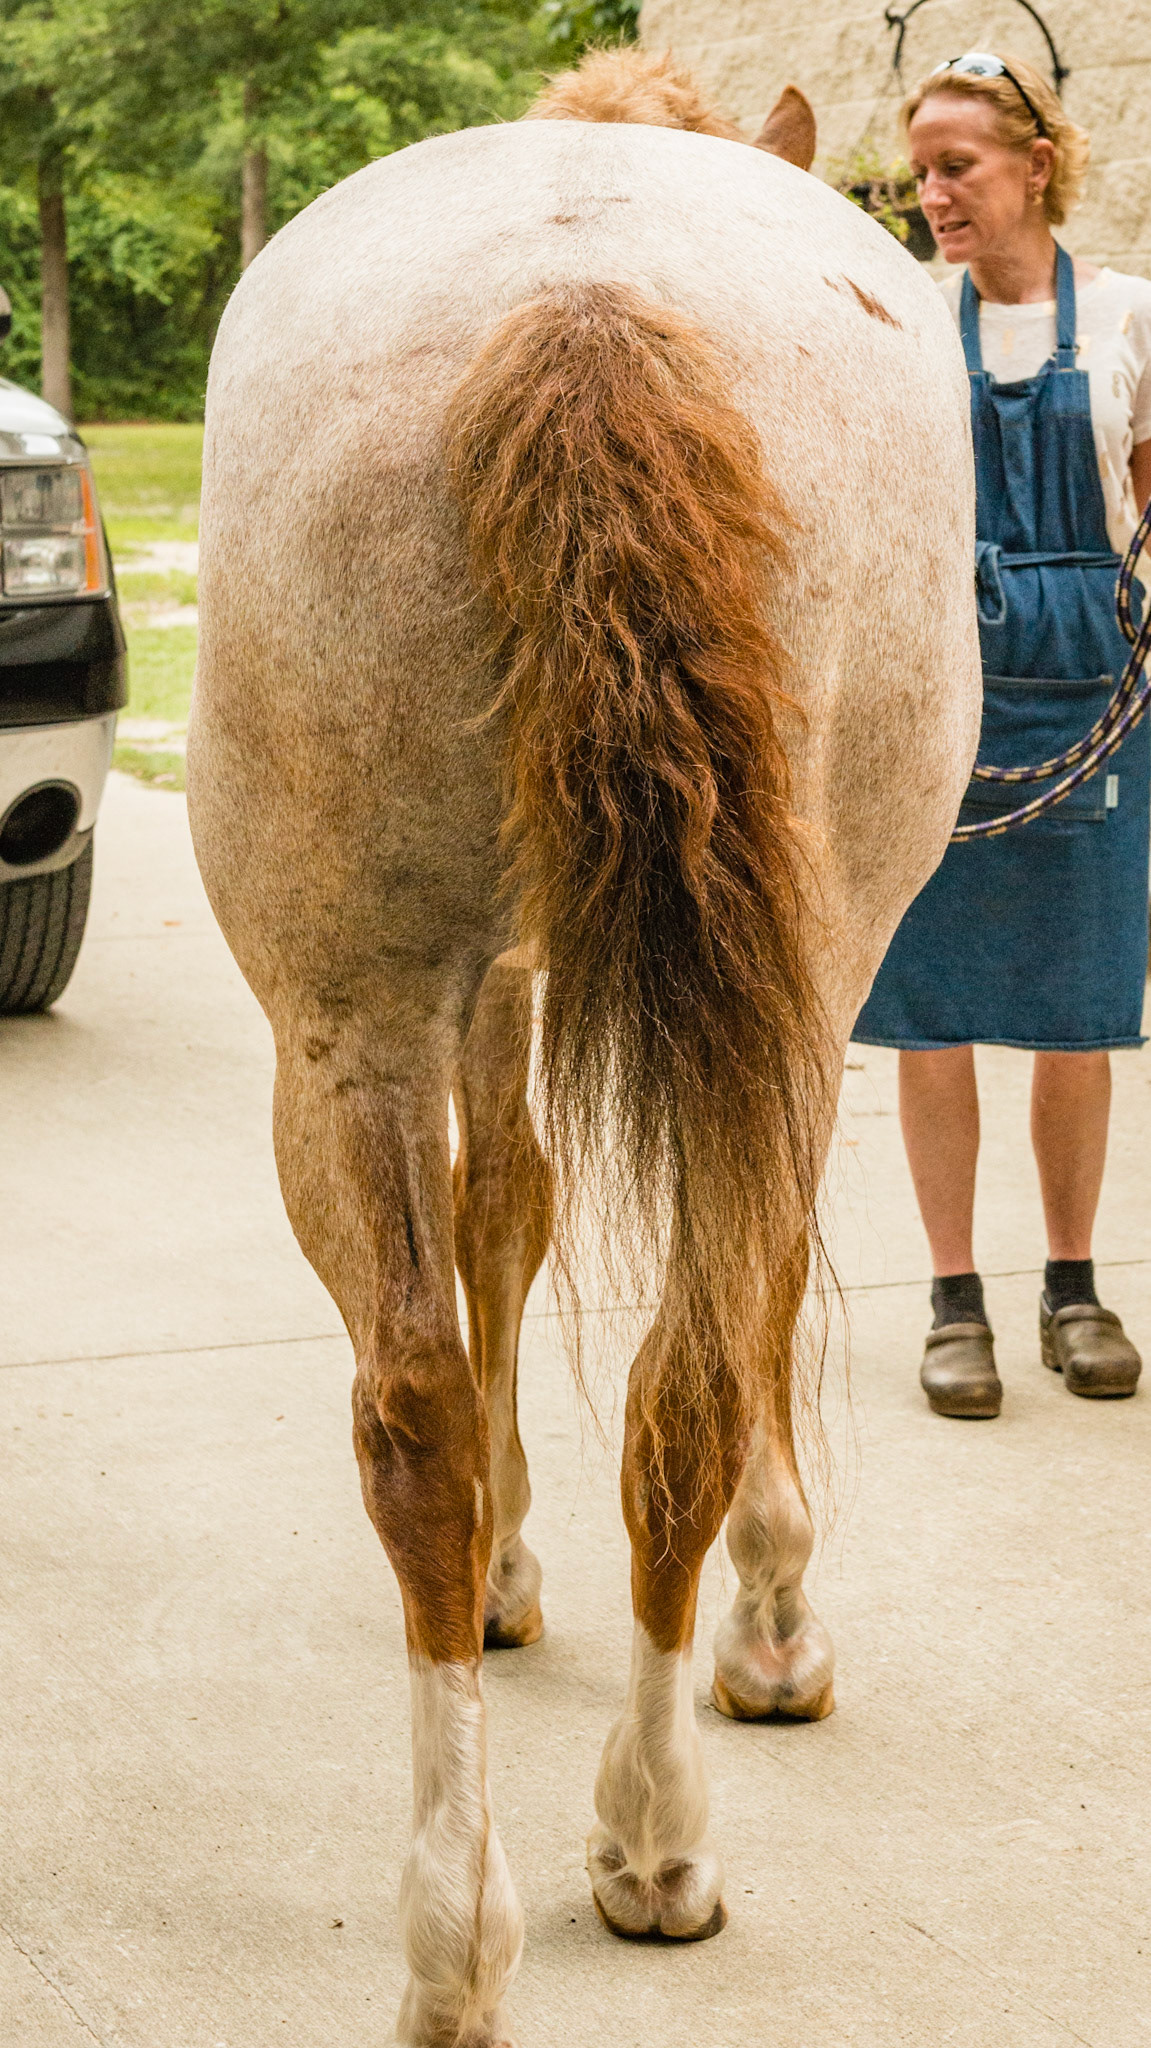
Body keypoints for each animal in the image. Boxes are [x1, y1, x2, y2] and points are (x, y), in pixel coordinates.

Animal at [187, 46, 980, 2048]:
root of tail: (582, 300)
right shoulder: (777, 1005)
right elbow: (675, 1276)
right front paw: (771, 1614)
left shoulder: (514, 982)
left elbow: (514, 1216)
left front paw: (509, 1569)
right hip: (756, 999)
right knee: (686, 1372)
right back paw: (650, 1835)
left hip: (348, 1022)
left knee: (415, 1413)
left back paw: (455, 1930)